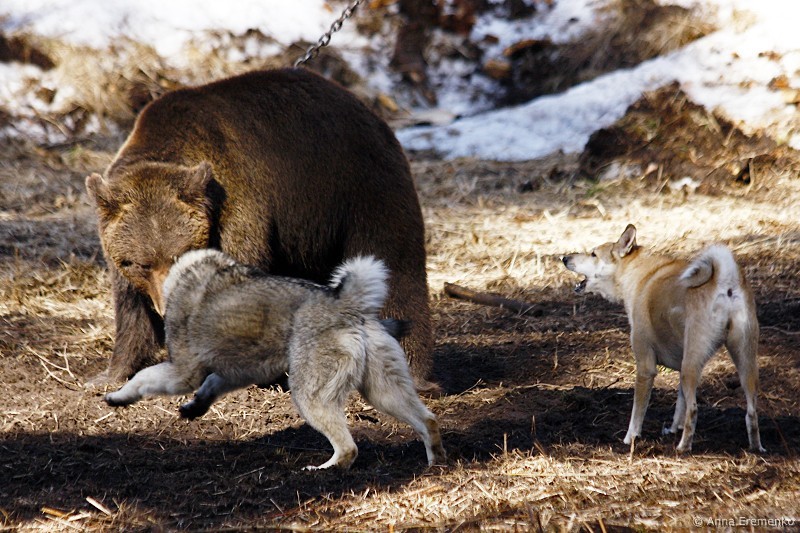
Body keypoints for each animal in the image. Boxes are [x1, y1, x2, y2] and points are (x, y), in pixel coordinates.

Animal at [85, 67, 437, 393]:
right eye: (141, 263)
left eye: (180, 256)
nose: (165, 304)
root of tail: (365, 106)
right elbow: (132, 312)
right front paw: (109, 374)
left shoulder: (239, 211)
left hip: (359, 190)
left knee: (396, 267)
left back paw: (414, 374)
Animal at [105, 249, 446, 470]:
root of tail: (346, 305)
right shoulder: (236, 371)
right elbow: (210, 386)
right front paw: (195, 406)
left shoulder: (182, 372)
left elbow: (141, 379)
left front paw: (118, 397)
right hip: (384, 391)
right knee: (427, 421)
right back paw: (434, 463)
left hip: (310, 397)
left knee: (348, 448)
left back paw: (323, 472)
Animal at [562, 224, 764, 453]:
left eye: (593, 254)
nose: (564, 258)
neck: (637, 271)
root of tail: (724, 280)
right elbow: (680, 404)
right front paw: (673, 428)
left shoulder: (645, 367)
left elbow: (638, 411)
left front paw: (630, 438)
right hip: (744, 362)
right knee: (751, 412)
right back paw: (756, 448)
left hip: (692, 364)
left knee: (694, 410)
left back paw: (683, 447)